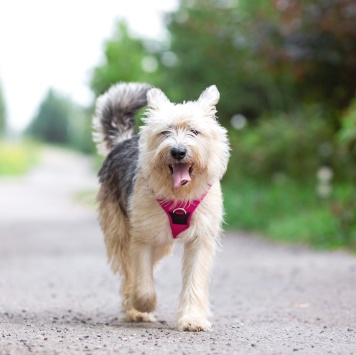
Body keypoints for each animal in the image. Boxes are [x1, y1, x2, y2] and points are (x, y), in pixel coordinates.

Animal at [93, 82, 229, 332]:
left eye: (194, 131)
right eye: (165, 132)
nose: (178, 151)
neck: (179, 197)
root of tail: (123, 141)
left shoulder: (200, 239)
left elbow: (194, 280)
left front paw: (192, 319)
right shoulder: (142, 236)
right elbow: (142, 282)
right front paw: (143, 304)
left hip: (162, 244)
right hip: (119, 233)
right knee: (128, 274)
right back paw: (134, 310)